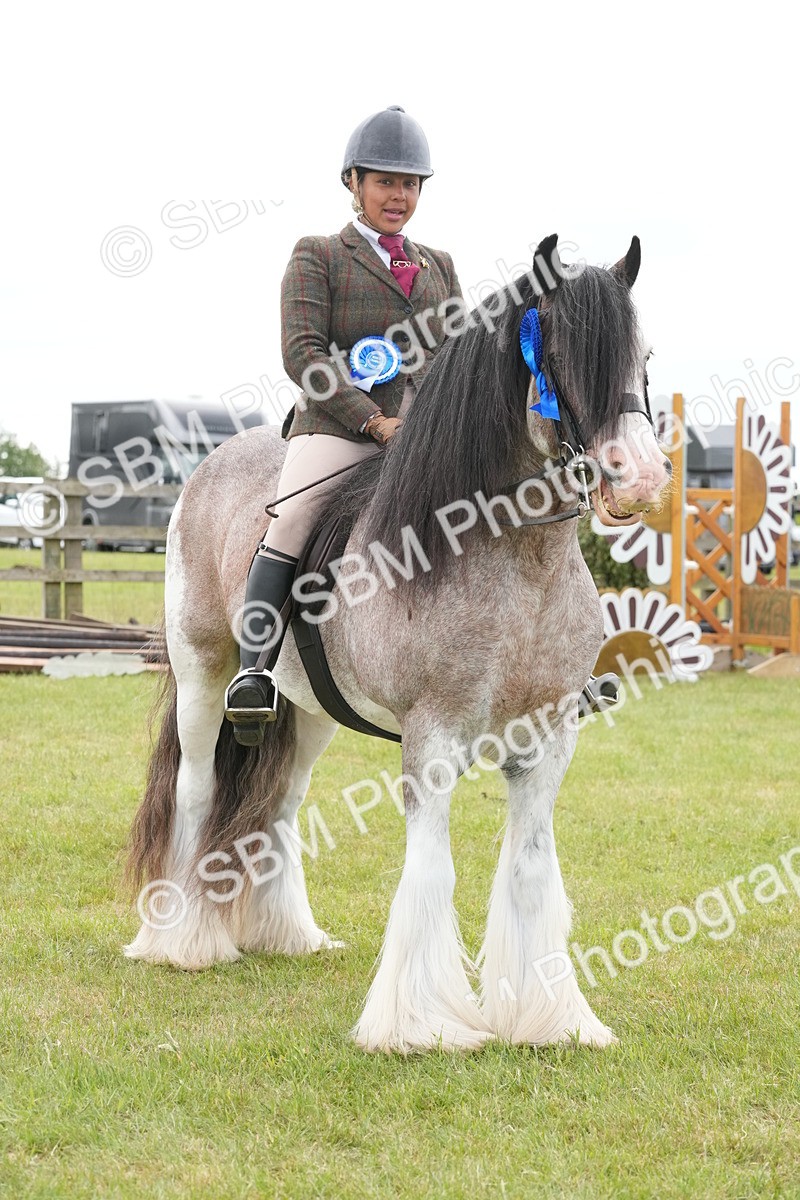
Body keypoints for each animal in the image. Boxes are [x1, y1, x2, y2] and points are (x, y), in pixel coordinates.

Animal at [123, 234, 671, 1053]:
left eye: (644, 355)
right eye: (558, 356)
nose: (637, 477)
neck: (514, 558)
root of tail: (208, 467)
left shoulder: (548, 737)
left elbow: (531, 870)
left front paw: (548, 1019)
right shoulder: (433, 736)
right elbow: (432, 873)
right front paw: (422, 1025)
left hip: (307, 709)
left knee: (281, 801)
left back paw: (288, 935)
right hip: (202, 672)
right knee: (197, 785)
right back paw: (182, 942)